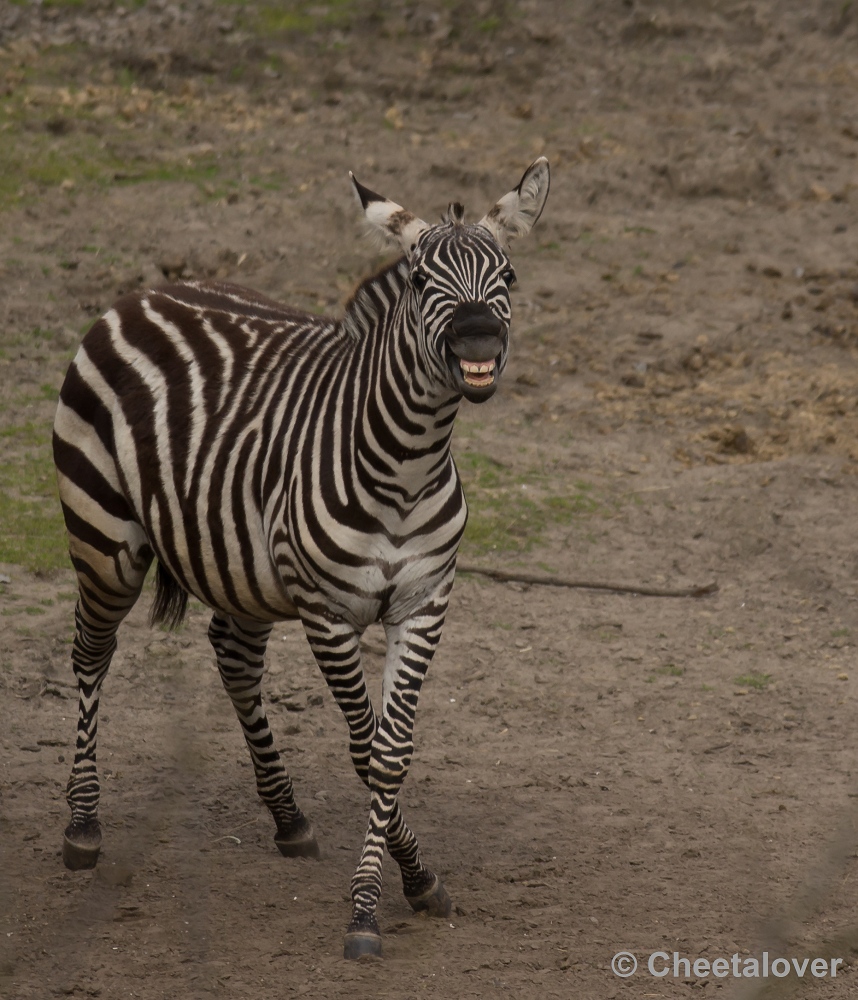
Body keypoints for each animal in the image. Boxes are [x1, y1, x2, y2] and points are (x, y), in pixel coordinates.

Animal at [51, 152, 548, 956]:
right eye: (419, 281)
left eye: (506, 275)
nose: (477, 342)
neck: (407, 466)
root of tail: (149, 290)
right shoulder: (326, 612)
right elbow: (366, 750)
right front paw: (368, 909)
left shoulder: (425, 603)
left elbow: (392, 752)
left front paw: (416, 882)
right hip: (105, 537)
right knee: (91, 652)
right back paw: (84, 825)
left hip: (241, 563)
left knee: (232, 655)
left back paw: (288, 819)